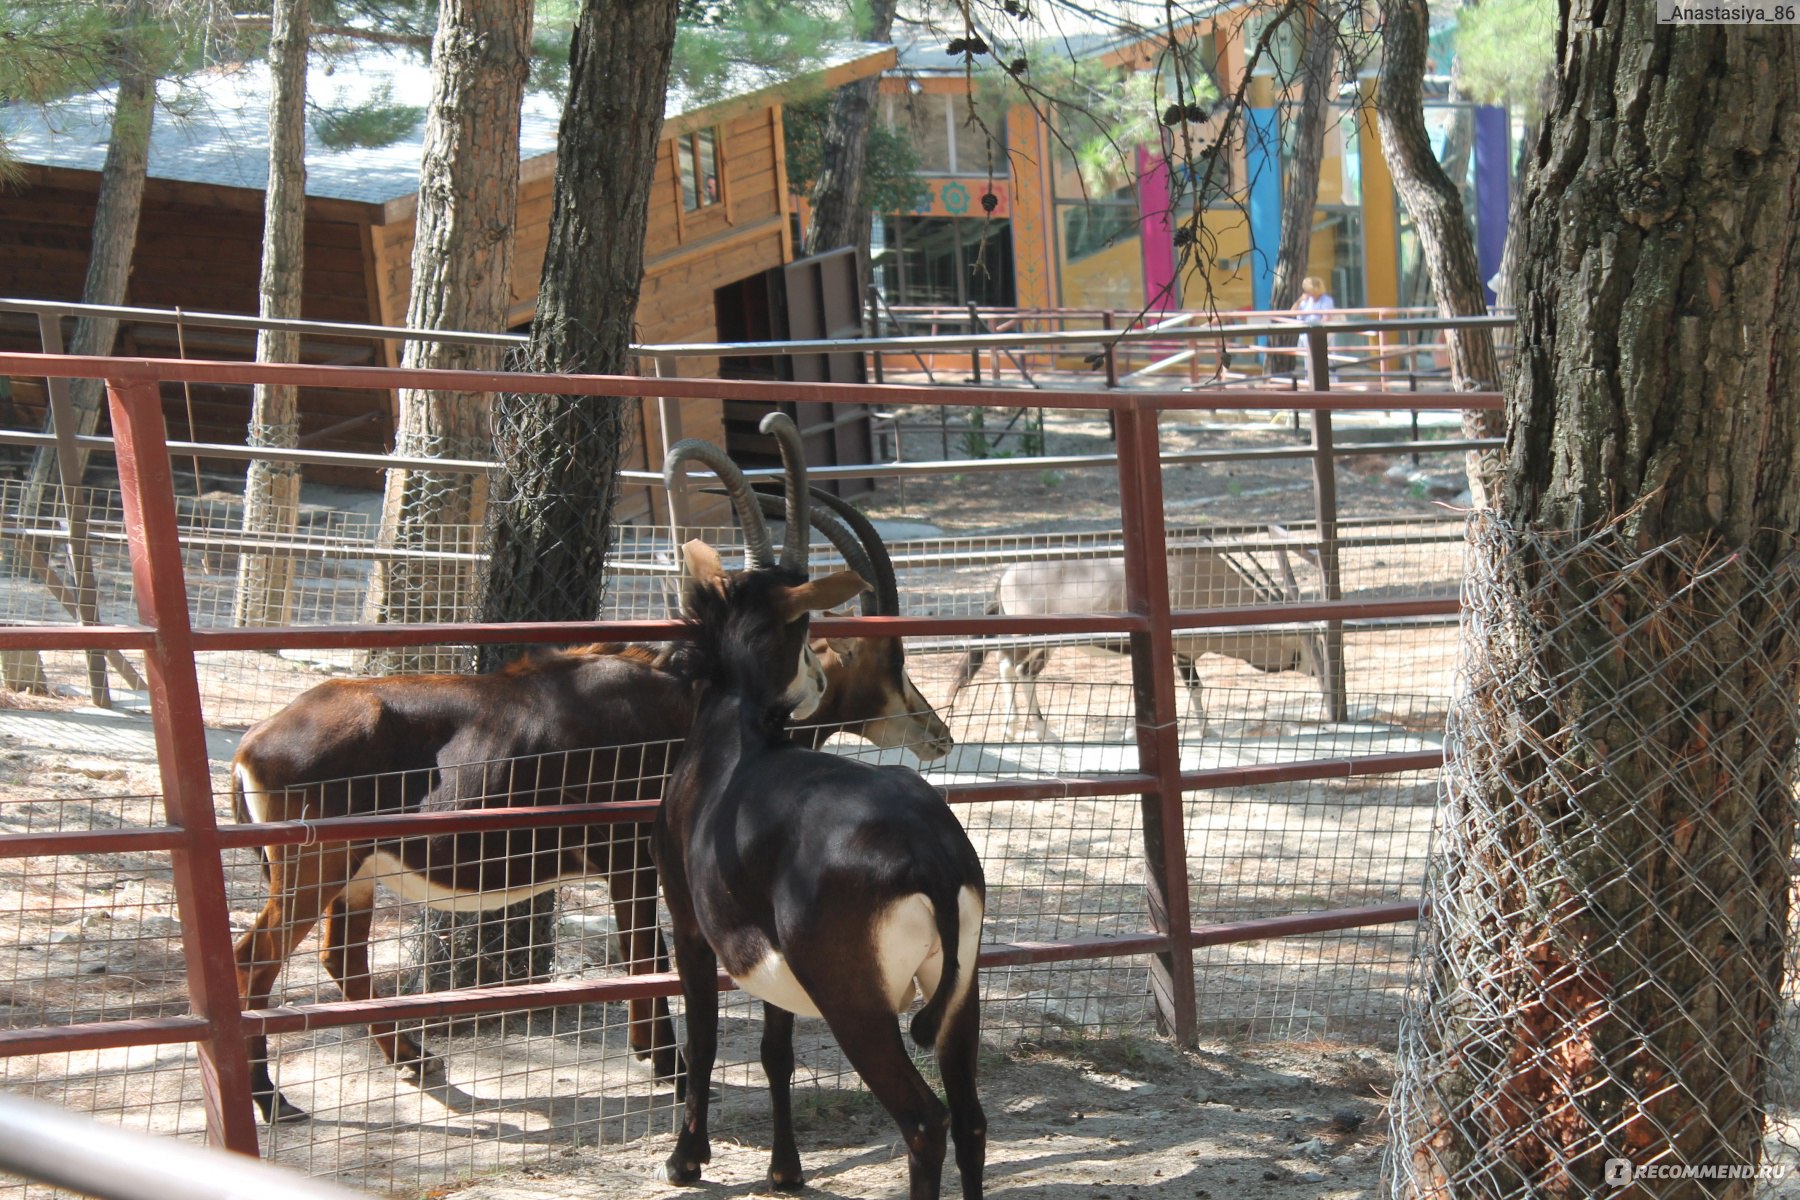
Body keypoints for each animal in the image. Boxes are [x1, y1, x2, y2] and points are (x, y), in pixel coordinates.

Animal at [232, 413, 950, 1129]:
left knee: (342, 958)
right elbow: (647, 955)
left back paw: (414, 1061)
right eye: (889, 655)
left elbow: (645, 955)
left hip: (352, 875)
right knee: (254, 963)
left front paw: (657, 1058)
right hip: (314, 869)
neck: (685, 695)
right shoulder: (632, 854)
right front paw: (671, 1067)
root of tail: (251, 745)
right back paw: (271, 1099)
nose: (938, 734)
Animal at [655, 464, 986, 1194]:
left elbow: (704, 1038)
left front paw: (686, 1159)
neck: (740, 733)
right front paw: (785, 1169)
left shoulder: (689, 926)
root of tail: (933, 856)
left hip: (856, 1006)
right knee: (973, 1120)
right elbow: (775, 1049)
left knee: (926, 1122)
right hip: (957, 994)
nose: (938, 733)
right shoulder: (771, 962)